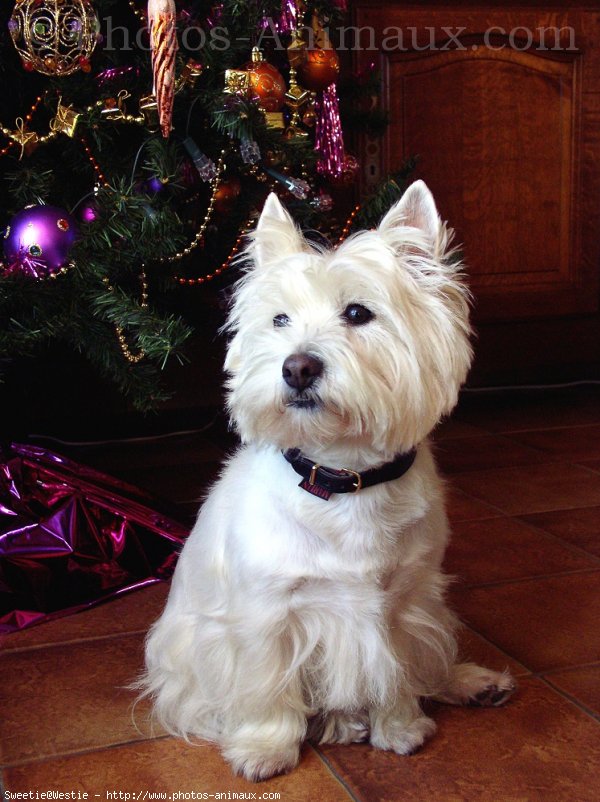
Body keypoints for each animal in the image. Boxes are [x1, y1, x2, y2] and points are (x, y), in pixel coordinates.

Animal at [138, 181, 512, 776]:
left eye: (358, 313)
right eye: (279, 320)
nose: (297, 368)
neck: (344, 476)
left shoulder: (402, 605)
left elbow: (397, 671)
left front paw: (400, 728)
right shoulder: (266, 616)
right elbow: (267, 687)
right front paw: (264, 748)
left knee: (434, 664)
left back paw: (473, 682)